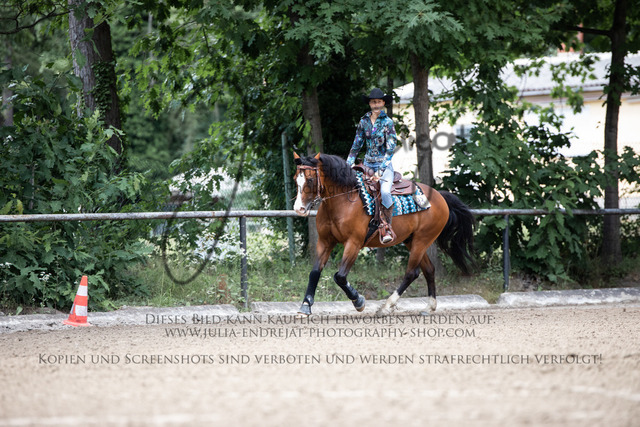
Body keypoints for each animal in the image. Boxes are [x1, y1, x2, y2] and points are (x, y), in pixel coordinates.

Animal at [293, 152, 475, 316]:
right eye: (296, 179)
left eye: (310, 179)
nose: (298, 208)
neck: (344, 200)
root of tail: (439, 196)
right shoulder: (325, 242)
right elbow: (315, 272)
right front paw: (305, 305)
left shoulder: (354, 243)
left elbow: (340, 276)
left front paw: (359, 301)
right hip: (412, 241)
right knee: (428, 270)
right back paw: (429, 307)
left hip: (422, 240)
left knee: (411, 273)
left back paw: (387, 306)